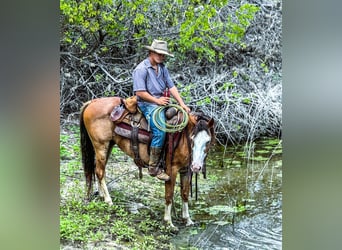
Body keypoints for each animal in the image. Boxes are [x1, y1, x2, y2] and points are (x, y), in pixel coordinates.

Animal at [79, 96, 215, 229]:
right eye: (192, 139)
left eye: (208, 141)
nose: (196, 167)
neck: (182, 136)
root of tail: (93, 101)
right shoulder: (172, 169)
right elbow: (169, 195)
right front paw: (169, 222)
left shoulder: (186, 169)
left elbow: (185, 193)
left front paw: (187, 220)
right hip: (101, 145)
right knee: (100, 171)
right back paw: (108, 200)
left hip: (109, 145)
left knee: (98, 169)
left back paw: (102, 196)